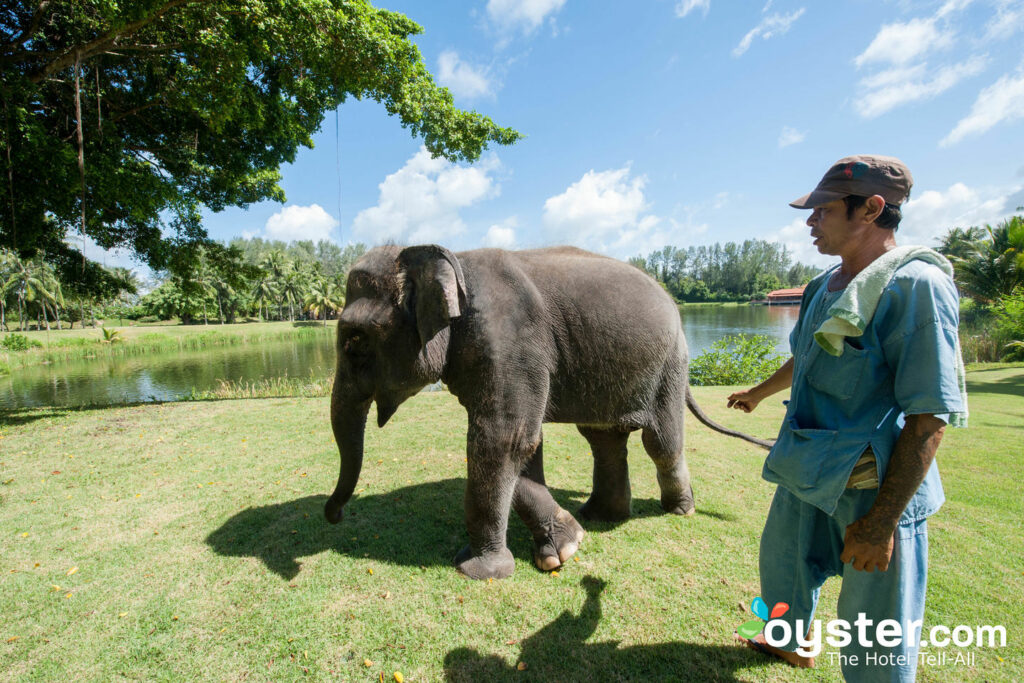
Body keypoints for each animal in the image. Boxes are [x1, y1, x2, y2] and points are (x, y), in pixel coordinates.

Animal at [323, 242, 770, 581]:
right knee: (603, 438)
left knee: (659, 440)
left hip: (670, 363)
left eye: (355, 340)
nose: (334, 515)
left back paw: (679, 509)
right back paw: (600, 515)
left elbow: (502, 441)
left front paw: (480, 570)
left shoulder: (511, 344)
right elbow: (525, 444)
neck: (453, 260)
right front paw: (566, 546)